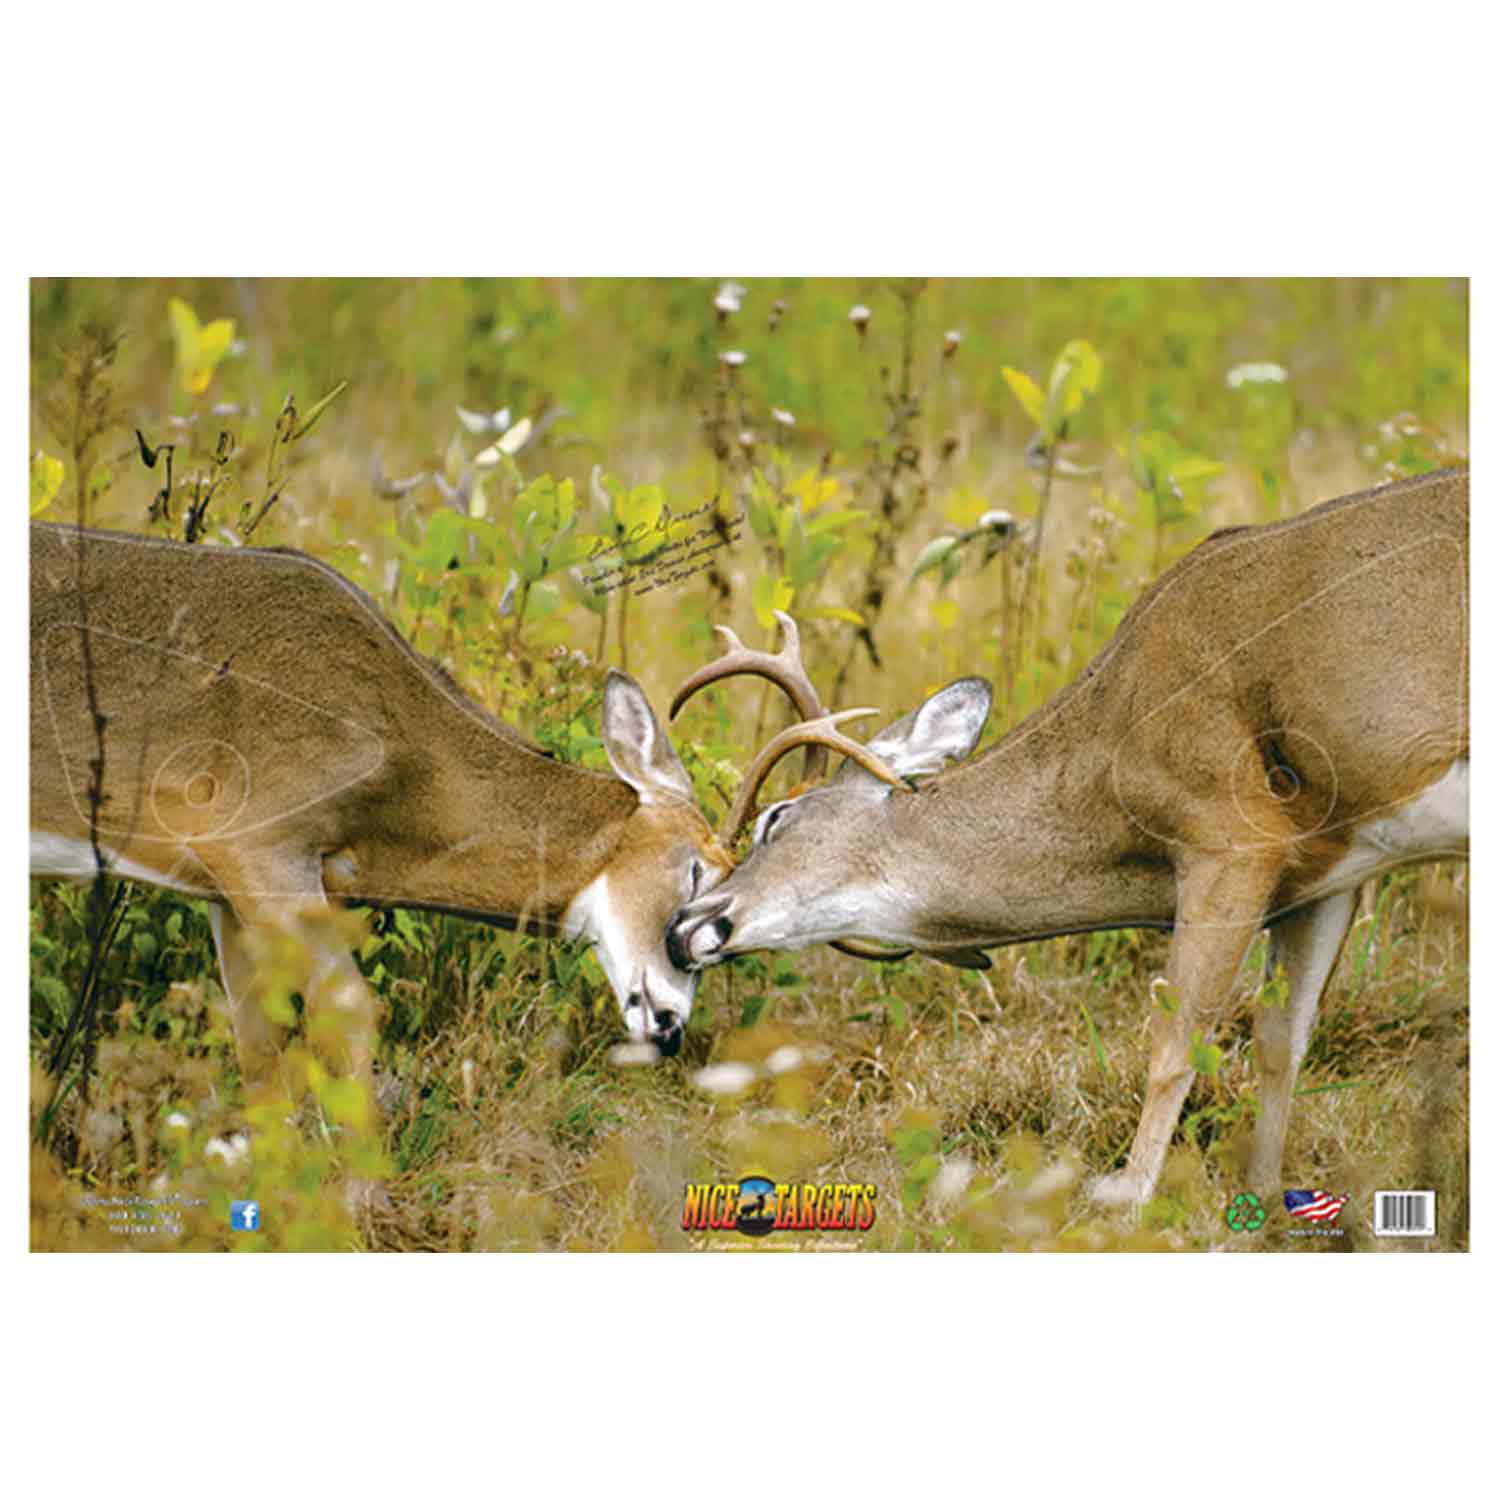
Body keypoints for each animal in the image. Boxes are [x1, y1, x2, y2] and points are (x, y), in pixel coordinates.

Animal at [30, 520, 735, 1116]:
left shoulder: (222, 890)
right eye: (696, 869)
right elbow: (348, 1014)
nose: (671, 1026)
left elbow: (260, 1046)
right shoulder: (258, 841)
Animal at [665, 467, 1469, 1207]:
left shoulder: (1231, 831)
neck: (1115, 750)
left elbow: (1177, 1037)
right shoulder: (1330, 866)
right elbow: (1281, 1038)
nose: (681, 926)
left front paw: (1127, 1197)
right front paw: (1268, 1200)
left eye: (775, 818)